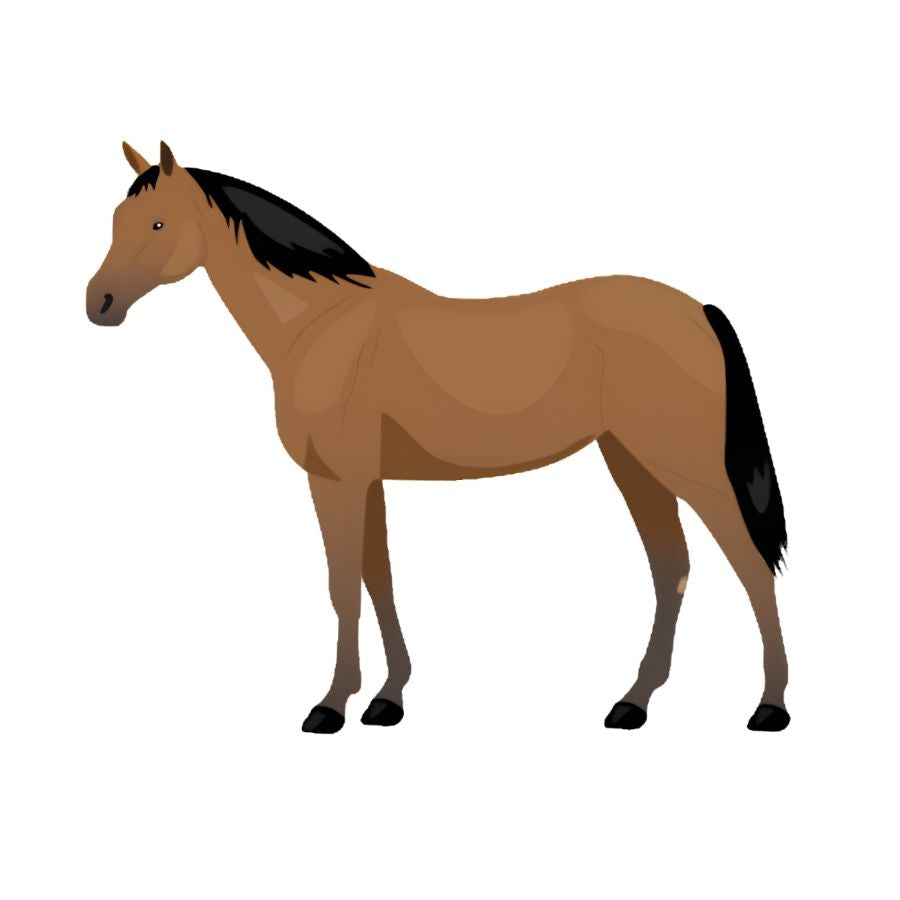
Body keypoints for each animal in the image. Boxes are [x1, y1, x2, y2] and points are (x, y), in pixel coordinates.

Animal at [86, 141, 790, 734]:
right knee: (672, 569)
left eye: (156, 224)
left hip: (690, 468)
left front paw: (330, 706)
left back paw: (769, 707)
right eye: (118, 220)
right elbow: (379, 580)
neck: (322, 325)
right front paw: (387, 699)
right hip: (633, 463)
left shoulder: (335, 481)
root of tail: (697, 309)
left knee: (751, 566)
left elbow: (343, 587)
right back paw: (632, 703)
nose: (100, 303)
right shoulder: (367, 481)